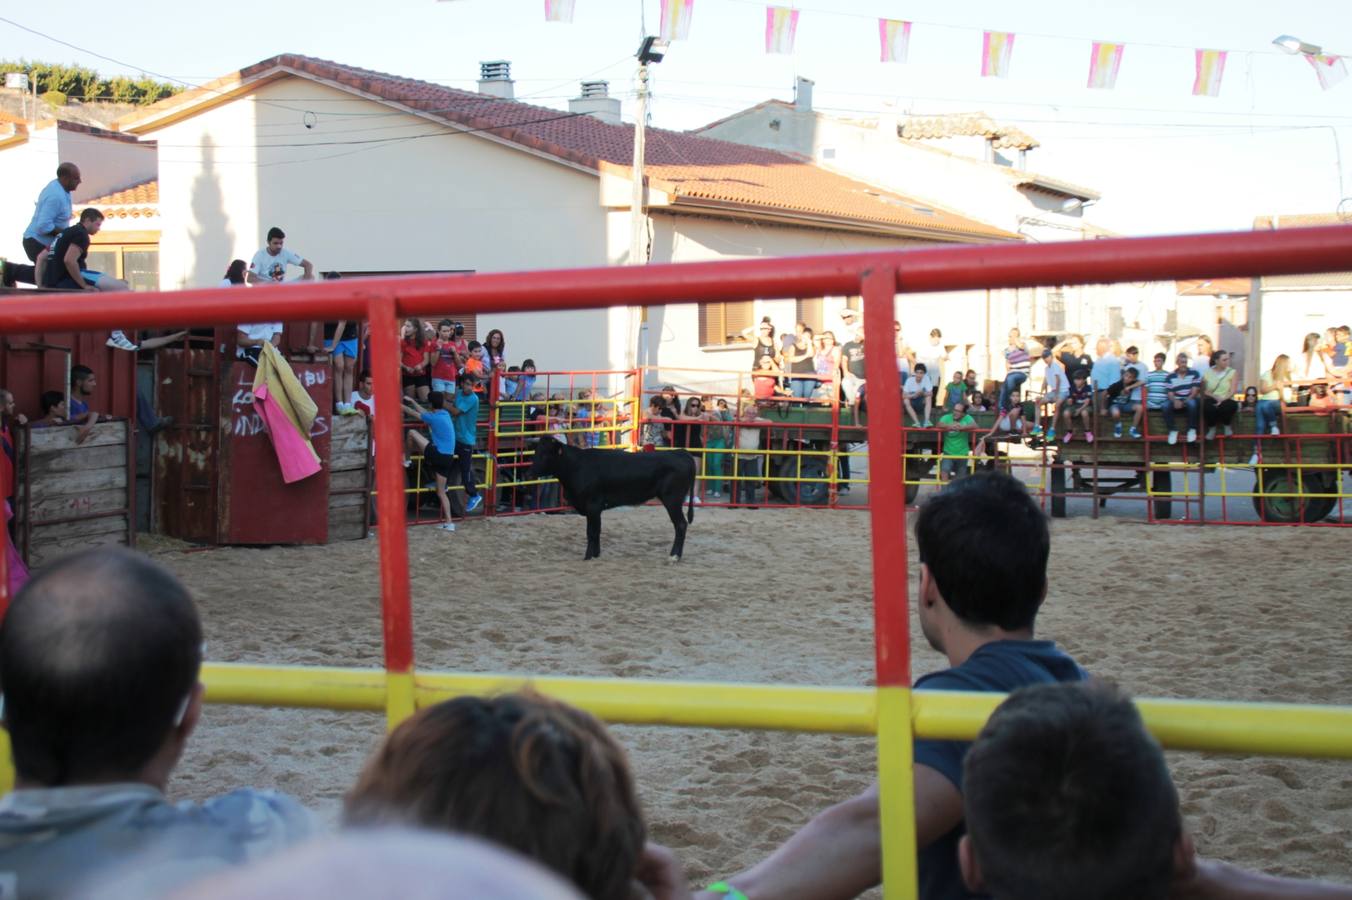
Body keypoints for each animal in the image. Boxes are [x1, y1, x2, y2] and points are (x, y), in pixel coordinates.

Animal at [527, 437, 697, 556]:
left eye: (546, 454)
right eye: (536, 452)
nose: (530, 472)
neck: (576, 466)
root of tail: (680, 452)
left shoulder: (593, 505)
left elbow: (591, 532)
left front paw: (588, 556)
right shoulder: (596, 509)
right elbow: (597, 531)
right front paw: (595, 555)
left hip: (672, 500)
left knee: (680, 524)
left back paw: (674, 556)